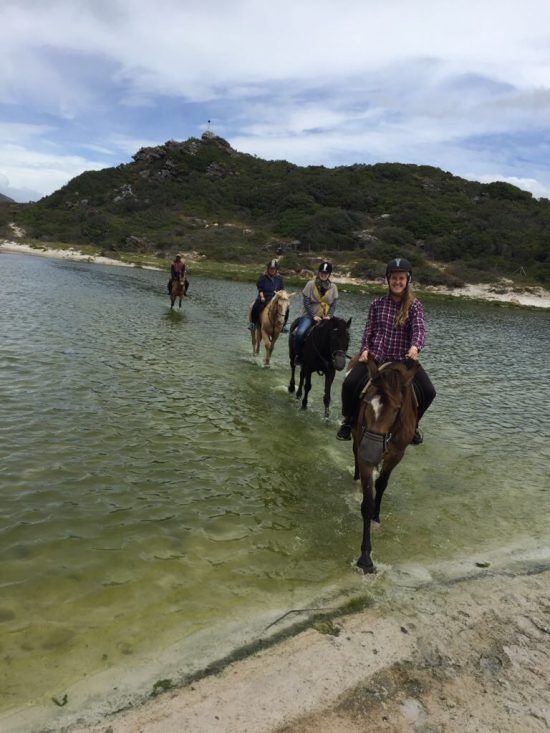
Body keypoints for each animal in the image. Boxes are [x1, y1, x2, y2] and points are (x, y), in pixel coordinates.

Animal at [354, 358, 418, 576]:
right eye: (366, 403)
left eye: (397, 408)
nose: (370, 453)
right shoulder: (363, 454)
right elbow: (367, 502)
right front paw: (365, 558)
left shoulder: (396, 456)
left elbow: (381, 485)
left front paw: (376, 516)